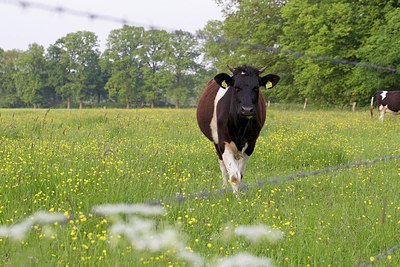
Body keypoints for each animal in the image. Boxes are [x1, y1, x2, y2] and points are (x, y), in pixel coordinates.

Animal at [196, 65, 278, 195]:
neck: (240, 127)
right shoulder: (223, 143)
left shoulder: (251, 144)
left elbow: (240, 174)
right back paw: (224, 187)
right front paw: (236, 197)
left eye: (256, 87)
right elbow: (234, 176)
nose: (247, 109)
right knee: (222, 166)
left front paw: (240, 195)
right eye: (236, 87)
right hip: (216, 142)